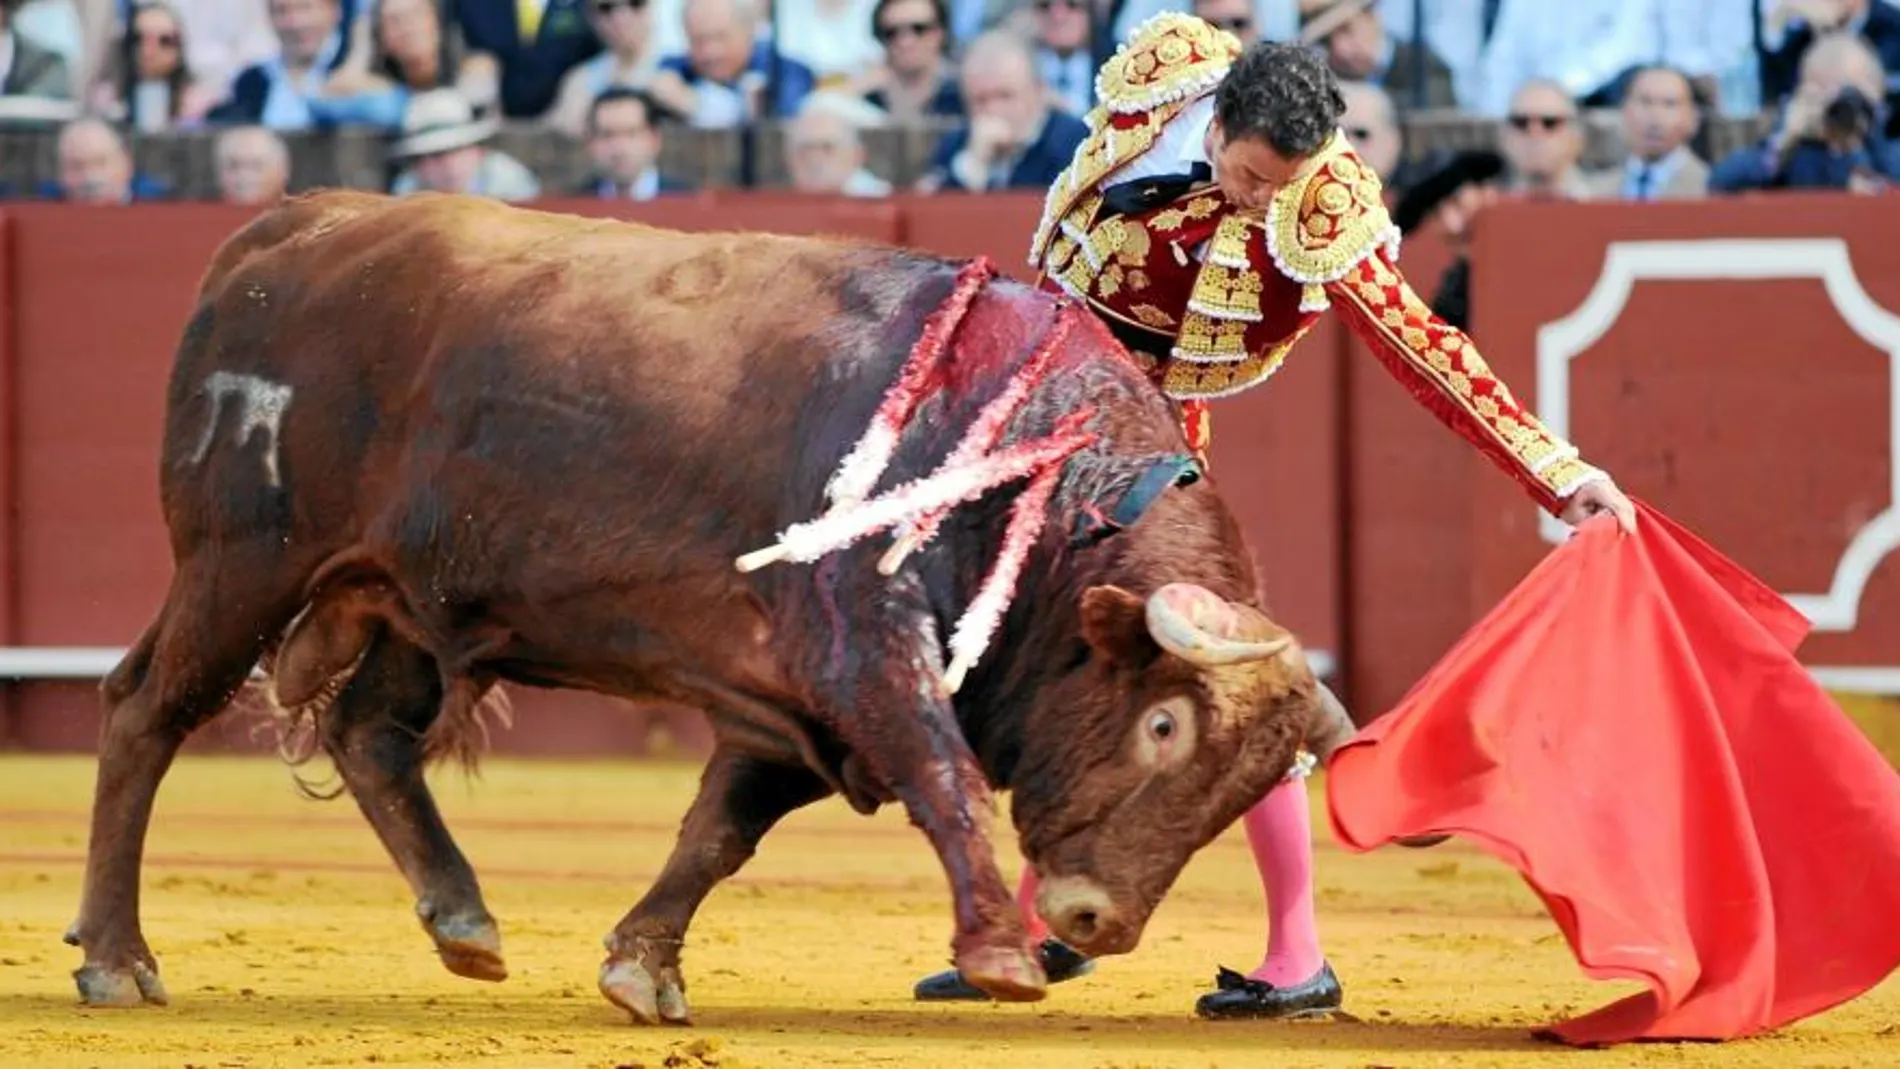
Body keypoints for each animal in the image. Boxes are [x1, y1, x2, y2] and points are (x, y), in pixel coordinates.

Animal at [66, 187, 1345, 1025]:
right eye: (1163, 724)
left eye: (1244, 789)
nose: (1092, 921)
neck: (1033, 476)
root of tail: (284, 228)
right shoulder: (861, 653)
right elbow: (940, 776)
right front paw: (997, 955)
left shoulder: (795, 705)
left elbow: (718, 829)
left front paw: (643, 967)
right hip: (242, 562)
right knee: (143, 711)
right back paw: (118, 960)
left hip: (410, 601)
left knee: (368, 731)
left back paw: (464, 922)